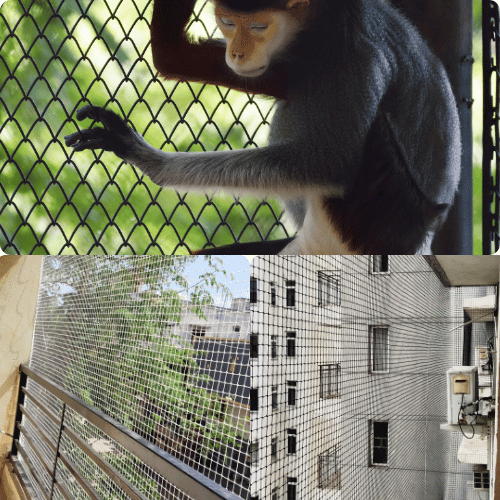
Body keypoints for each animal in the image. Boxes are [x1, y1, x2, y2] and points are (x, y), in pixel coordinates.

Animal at [64, 0, 462, 254]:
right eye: (227, 23)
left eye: (259, 27)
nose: (237, 53)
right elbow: (177, 55)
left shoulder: (350, 56)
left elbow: (330, 165)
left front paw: (150, 160)